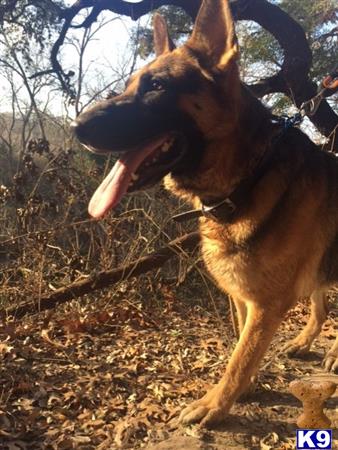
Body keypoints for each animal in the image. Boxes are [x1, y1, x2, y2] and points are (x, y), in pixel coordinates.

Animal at [72, 0, 336, 426]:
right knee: (322, 306)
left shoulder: (266, 306)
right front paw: (243, 391)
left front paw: (215, 403)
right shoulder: (246, 300)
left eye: (157, 87)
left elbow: (240, 358)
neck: (248, 178)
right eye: (129, 85)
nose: (76, 126)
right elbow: (242, 347)